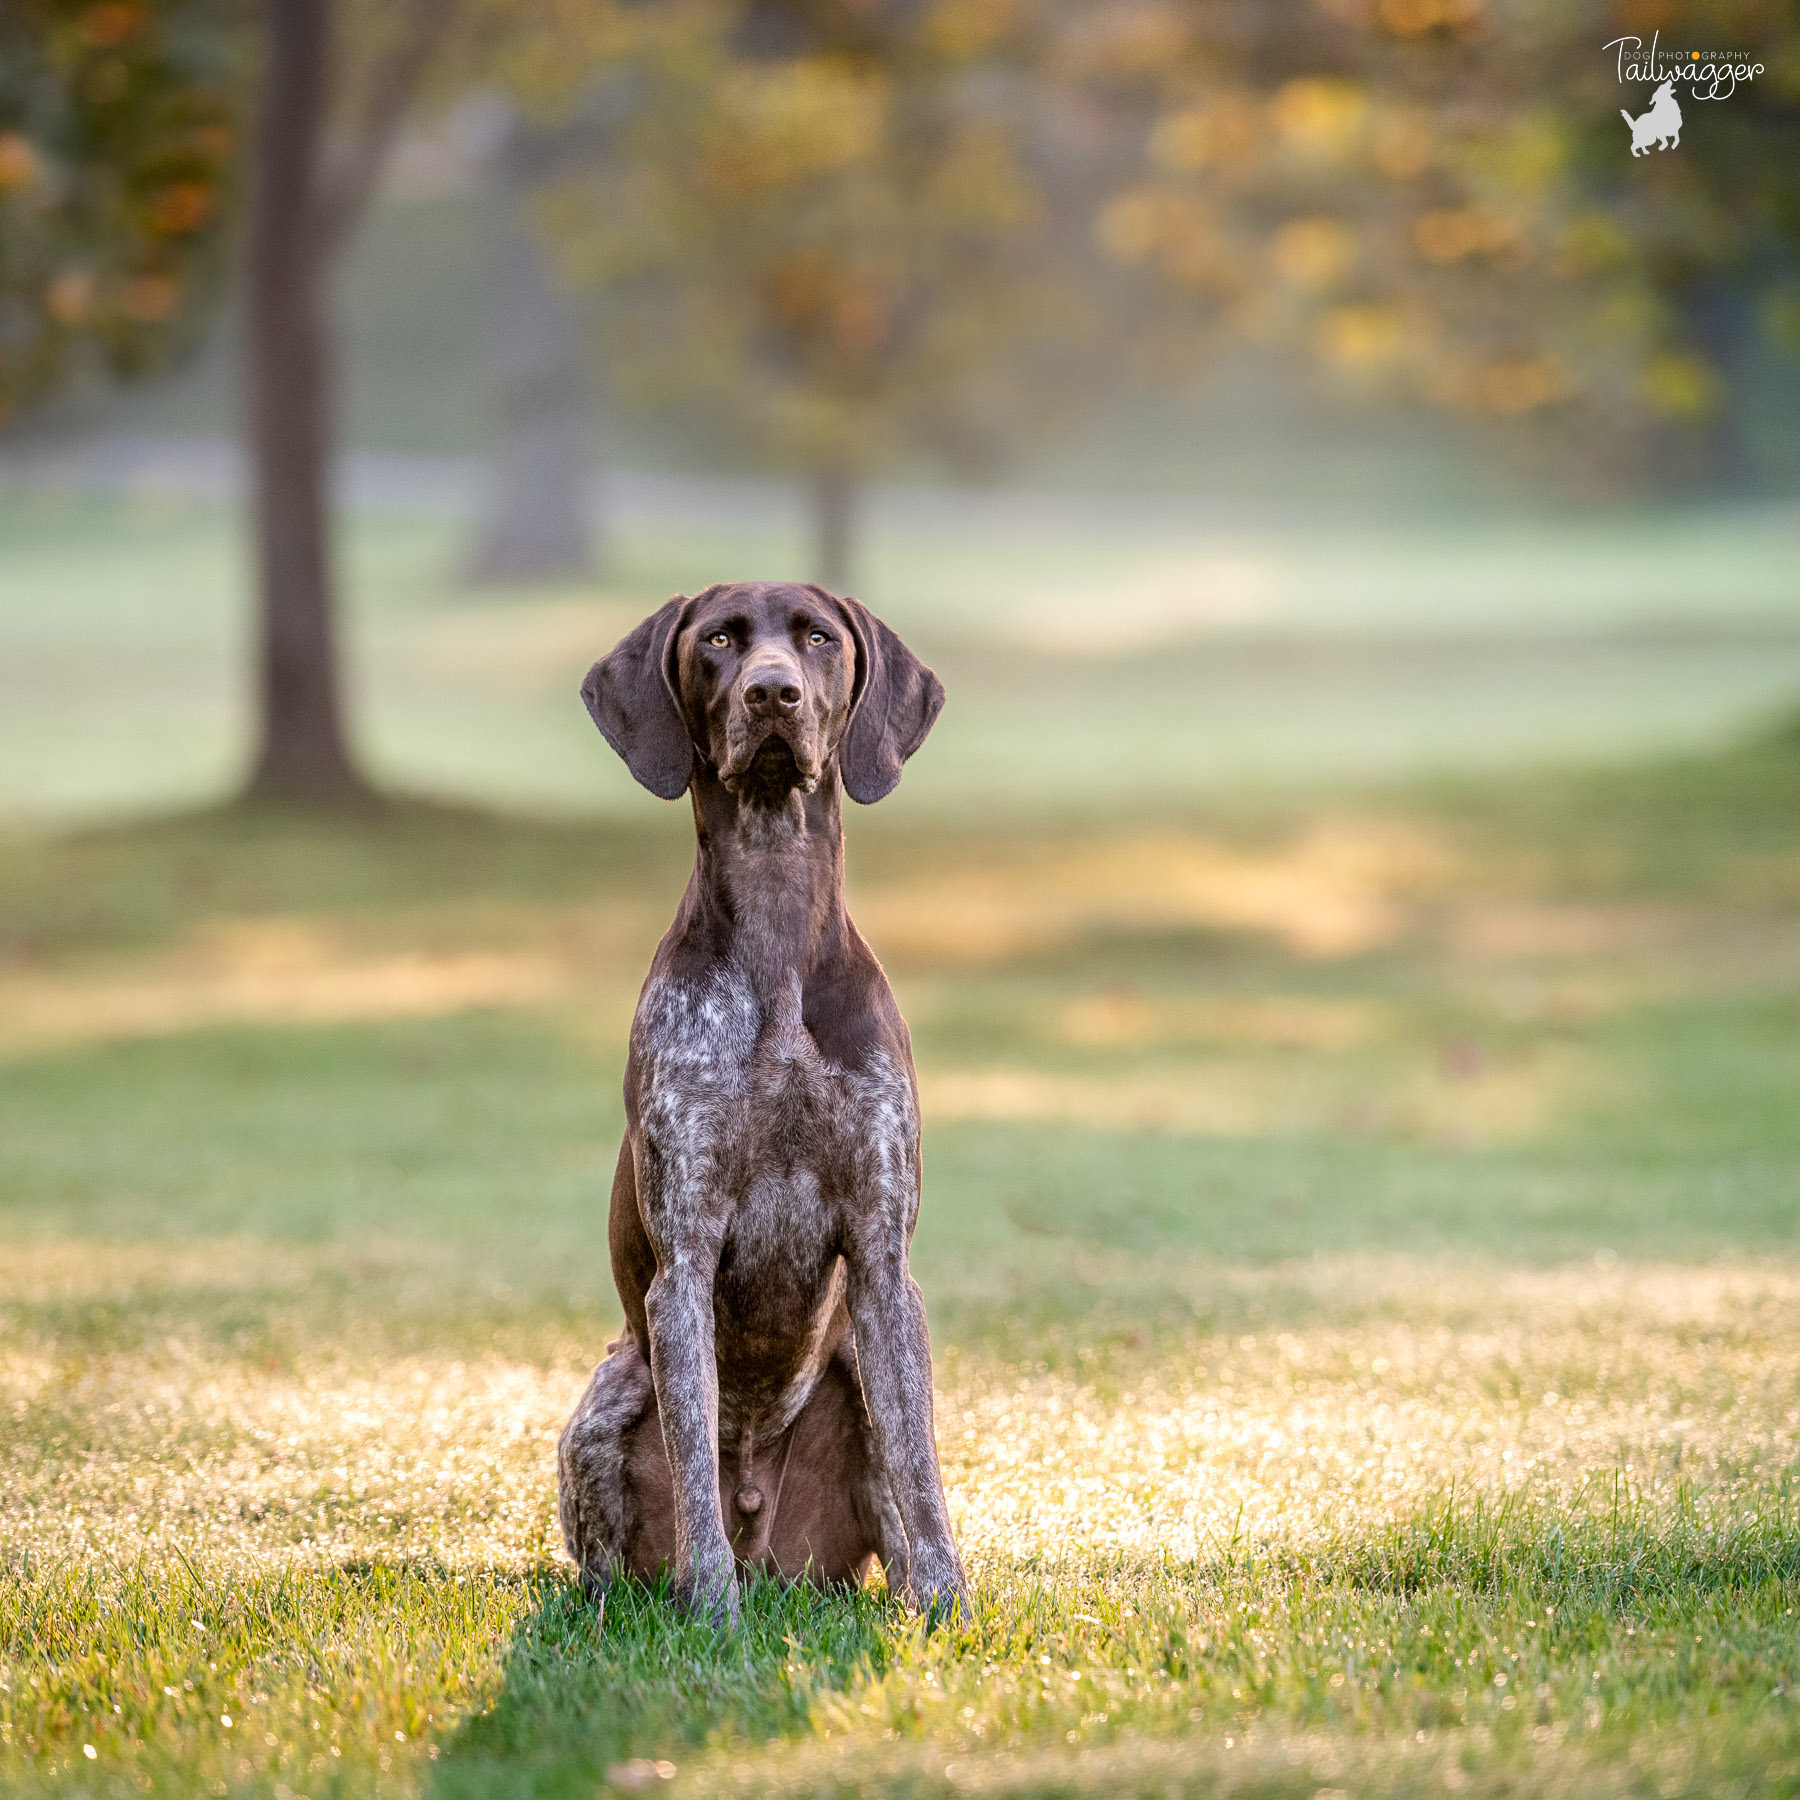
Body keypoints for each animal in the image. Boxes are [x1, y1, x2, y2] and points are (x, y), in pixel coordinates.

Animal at [558, 583, 972, 1627]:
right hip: (606, 1396)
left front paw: (948, 1603)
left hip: (852, 1369)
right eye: (718, 640)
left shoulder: (882, 1258)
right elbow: (694, 1461)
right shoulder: (684, 1261)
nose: (773, 694)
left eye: (818, 638)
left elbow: (919, 1466)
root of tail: (769, 1552)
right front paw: (711, 1615)